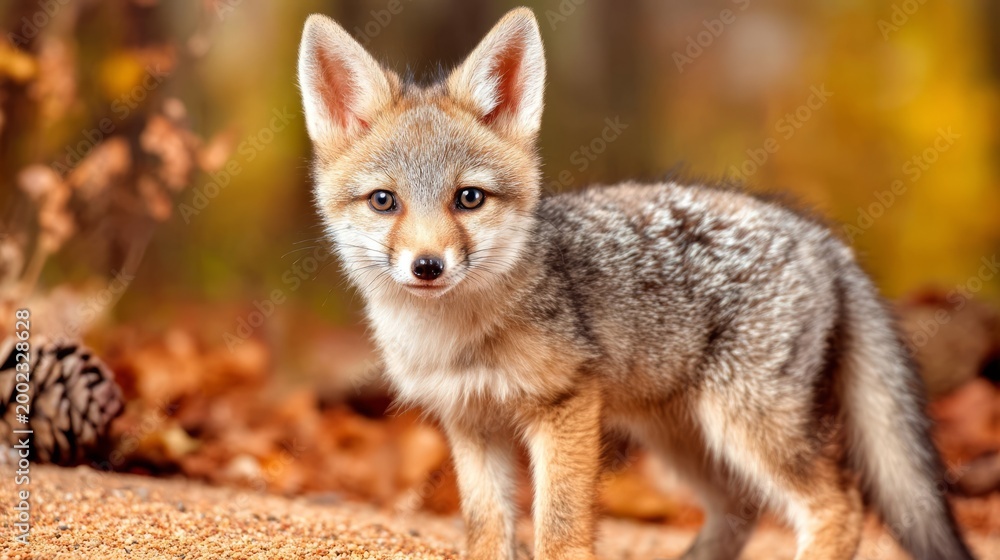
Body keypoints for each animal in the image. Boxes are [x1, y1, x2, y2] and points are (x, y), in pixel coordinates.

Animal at [297, 7, 977, 560]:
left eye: (469, 198)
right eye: (384, 201)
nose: (428, 266)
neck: (454, 338)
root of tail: (821, 236)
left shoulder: (565, 405)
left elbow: (559, 529)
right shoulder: (471, 422)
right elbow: (487, 530)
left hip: (746, 427)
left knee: (838, 504)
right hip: (682, 438)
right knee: (741, 509)